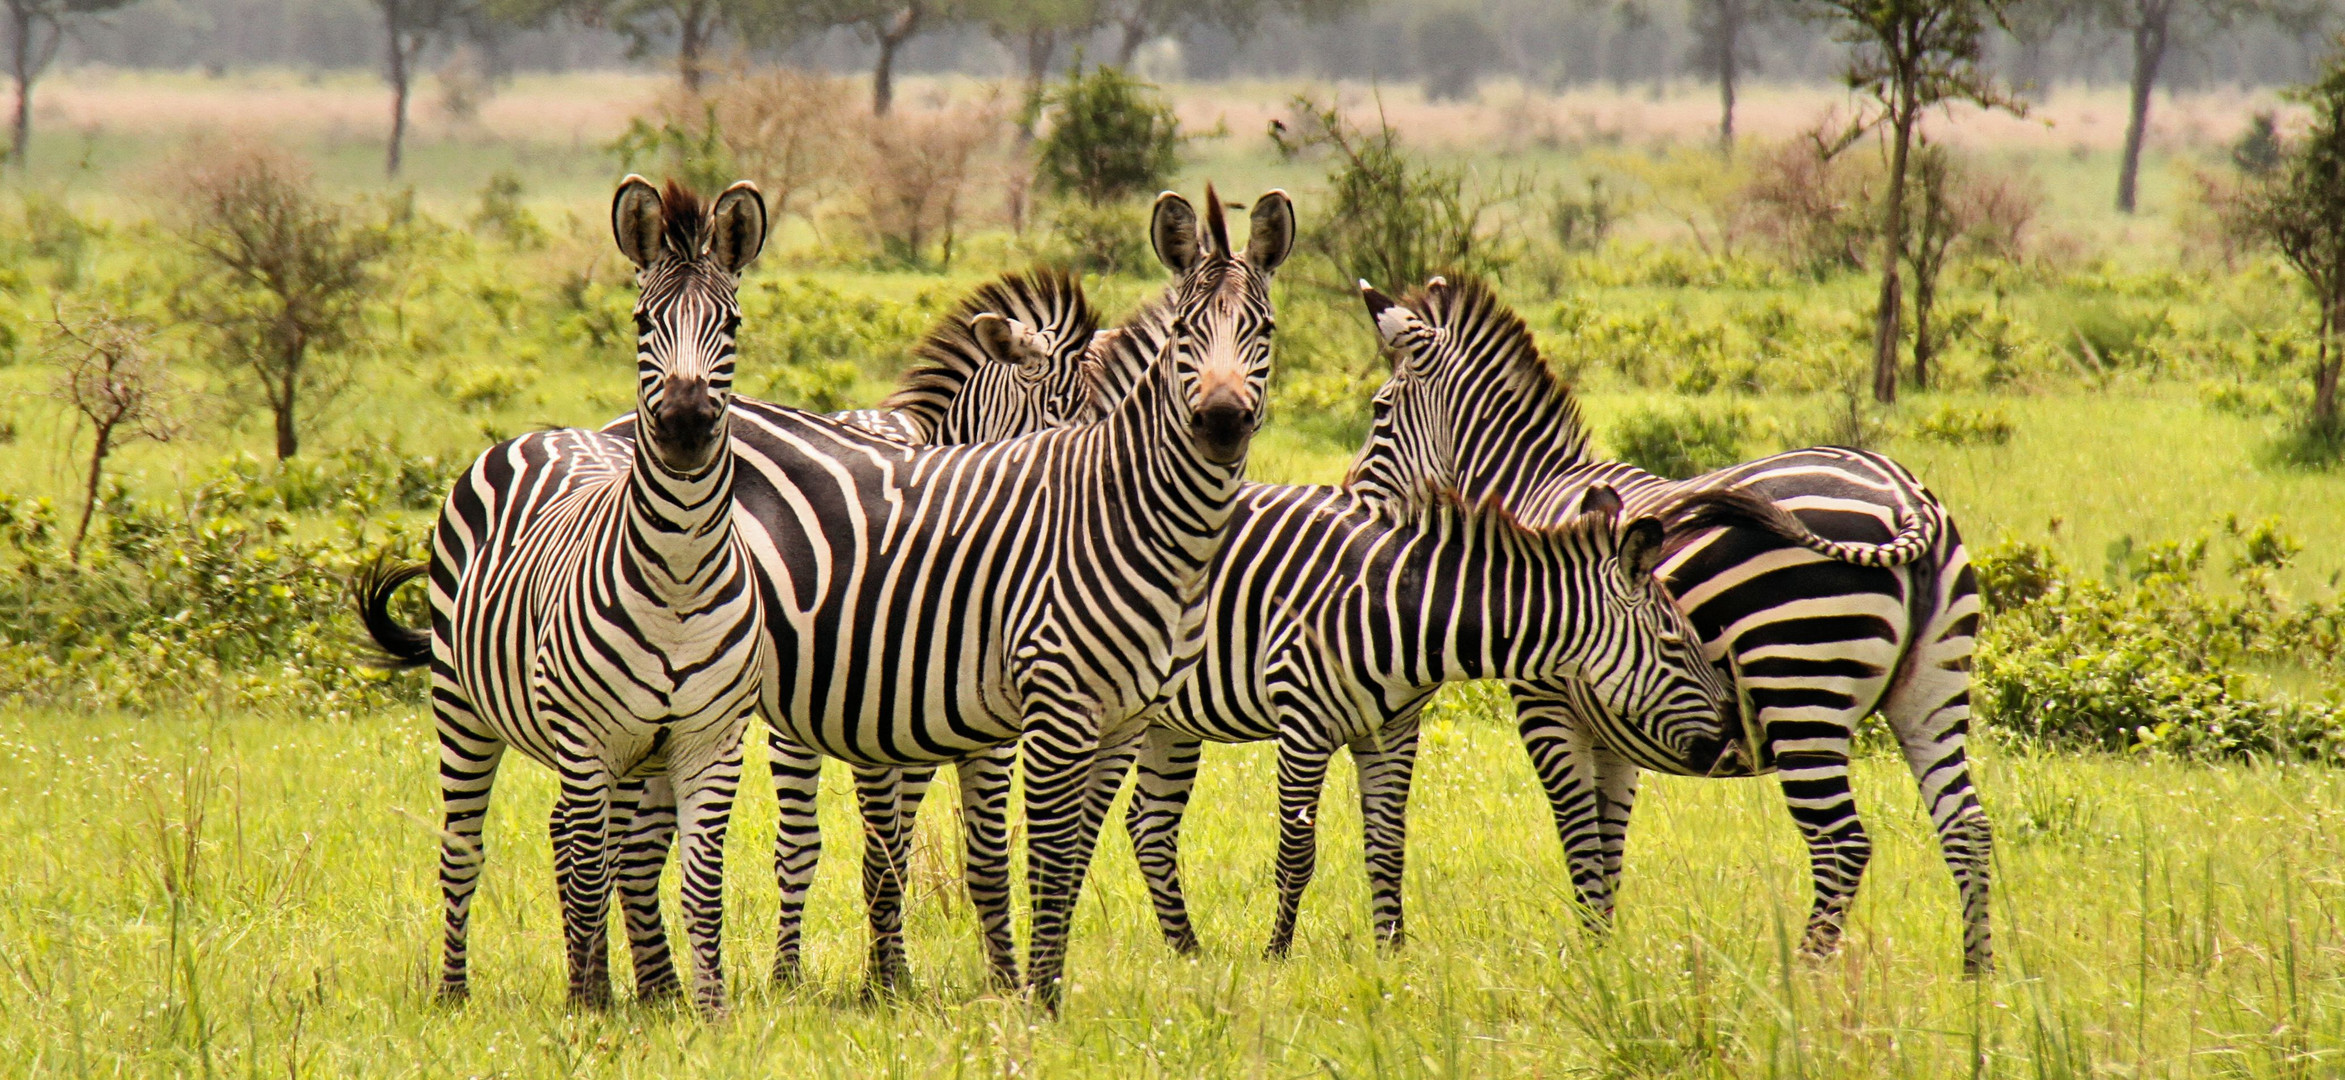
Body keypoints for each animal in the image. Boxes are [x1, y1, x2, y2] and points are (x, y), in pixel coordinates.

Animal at [354, 174, 769, 1012]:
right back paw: (459, 990)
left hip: (629, 756)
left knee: (582, 843)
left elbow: (702, 887)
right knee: (468, 850)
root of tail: (543, 431)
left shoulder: (712, 743)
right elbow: (586, 877)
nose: (683, 425)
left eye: (731, 322)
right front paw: (586, 1006)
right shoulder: (585, 739)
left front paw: (707, 1009)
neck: (680, 574)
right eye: (642, 321)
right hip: (463, 708)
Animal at [1350, 274, 1988, 974]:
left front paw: (1588, 963)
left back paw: (1805, 975)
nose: (1351, 499)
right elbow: (1608, 842)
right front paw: (1606, 956)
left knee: (1842, 845)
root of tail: (1905, 500)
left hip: (1799, 680)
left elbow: (1578, 836)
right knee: (1967, 829)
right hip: (1932, 690)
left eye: (1379, 411)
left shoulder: (1546, 705)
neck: (1532, 490)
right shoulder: (1614, 725)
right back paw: (1976, 976)